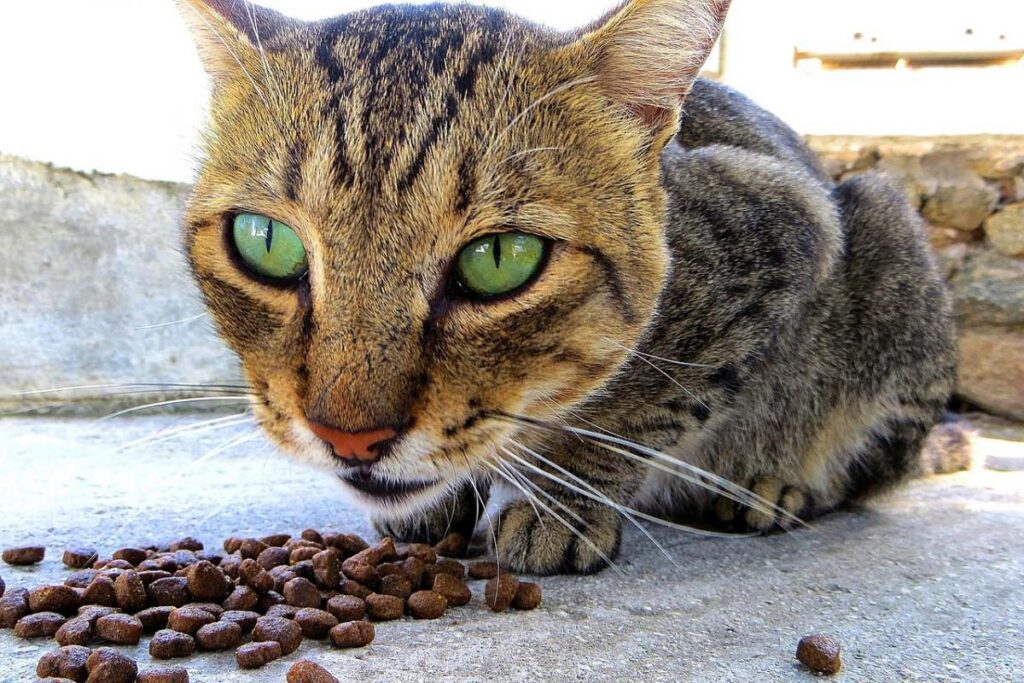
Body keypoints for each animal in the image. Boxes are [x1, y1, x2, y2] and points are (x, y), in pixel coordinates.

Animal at [176, 0, 958, 577]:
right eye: (265, 242)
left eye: (501, 259)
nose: (350, 437)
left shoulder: (788, 228)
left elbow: (642, 406)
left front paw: (560, 504)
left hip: (886, 235)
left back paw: (773, 486)